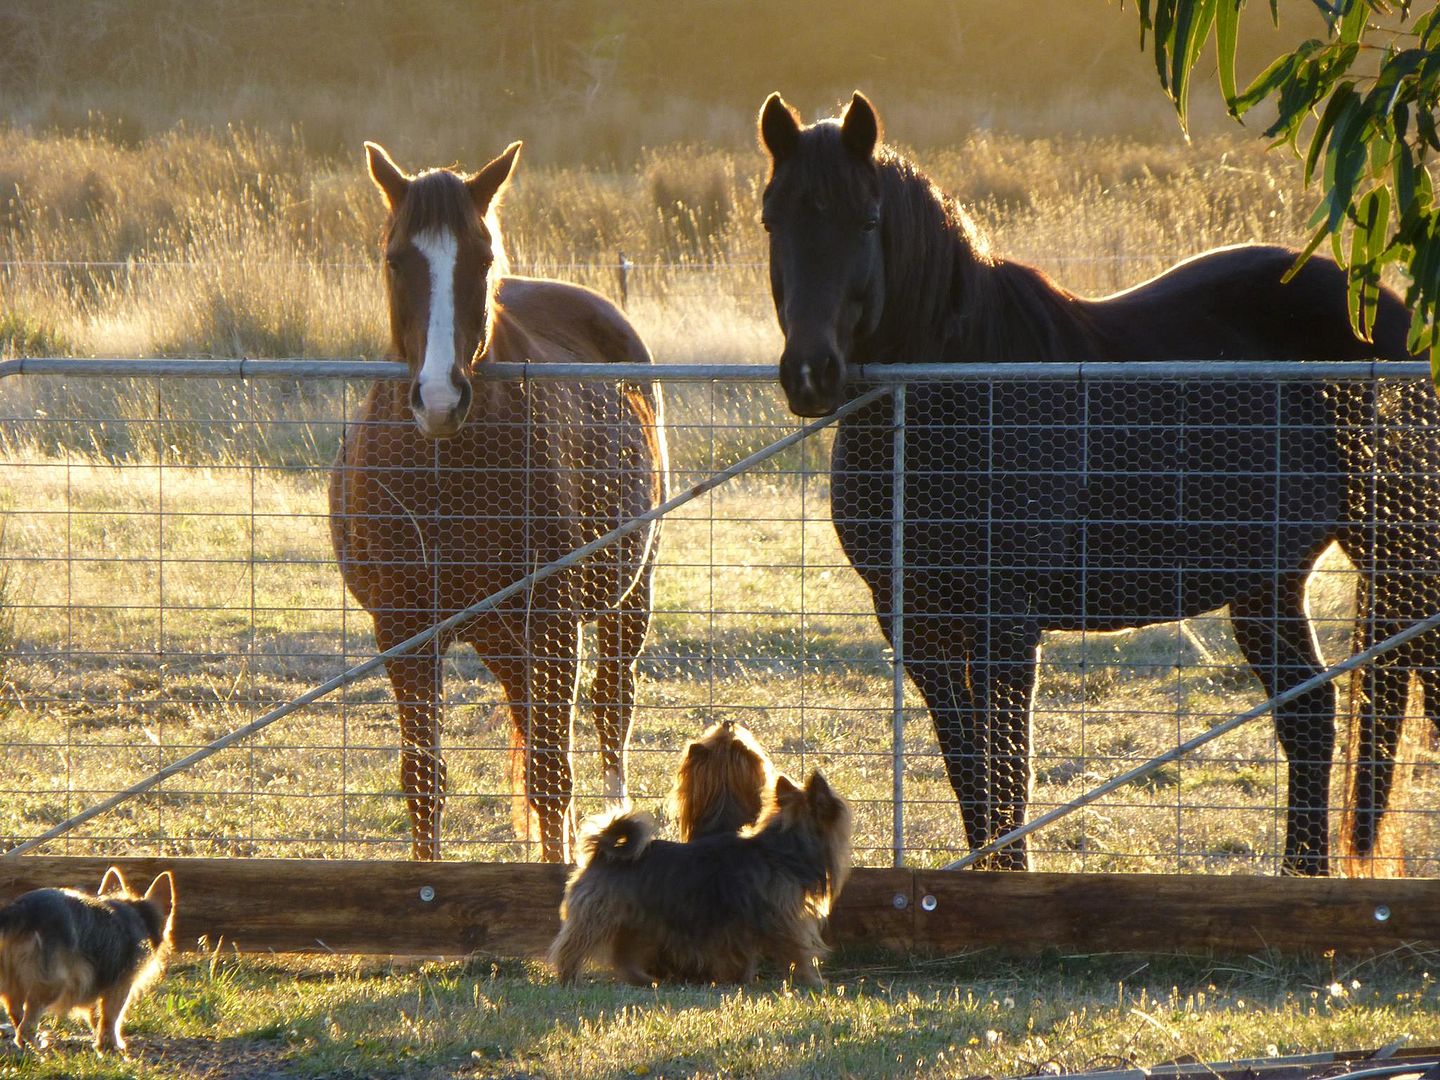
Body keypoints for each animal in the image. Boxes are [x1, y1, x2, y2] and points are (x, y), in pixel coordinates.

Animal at [329, 144, 665, 864]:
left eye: (482, 260)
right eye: (395, 259)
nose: (439, 399)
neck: (450, 475)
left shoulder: (552, 619)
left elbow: (551, 773)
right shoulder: (404, 632)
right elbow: (423, 780)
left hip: (625, 598)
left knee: (611, 710)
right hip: (501, 636)